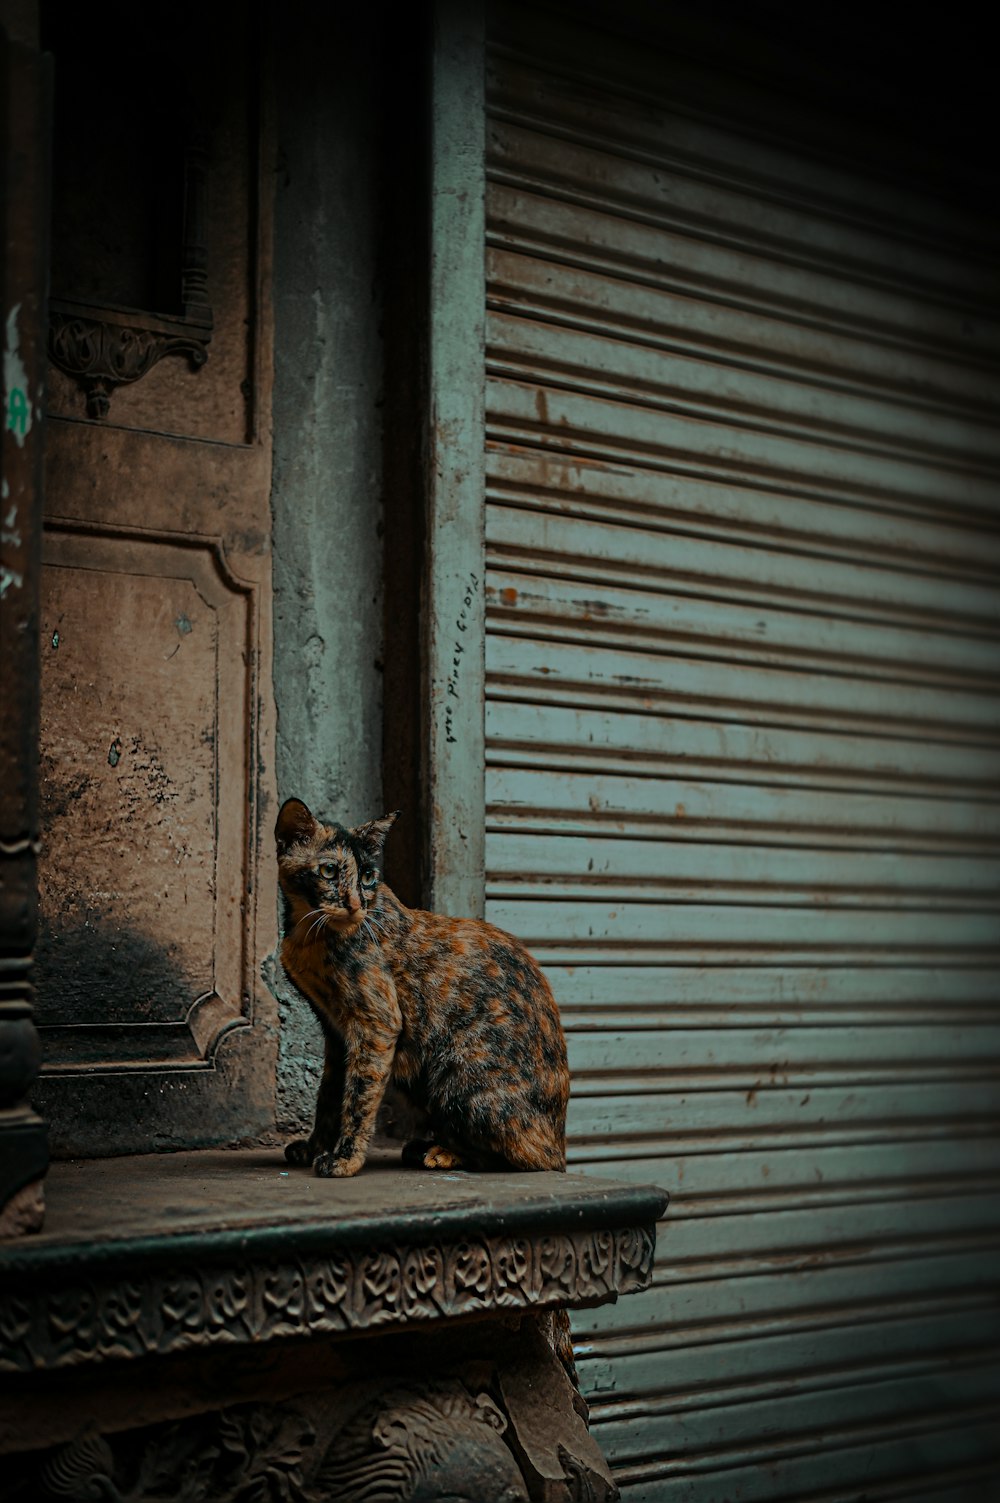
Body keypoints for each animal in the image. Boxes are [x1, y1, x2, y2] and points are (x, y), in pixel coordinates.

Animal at [275, 799, 568, 1184]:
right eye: (328, 870)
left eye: (367, 876)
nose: (356, 904)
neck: (309, 932)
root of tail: (560, 1140)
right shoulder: (335, 1032)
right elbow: (329, 1095)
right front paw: (314, 1147)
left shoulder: (377, 1022)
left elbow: (358, 1097)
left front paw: (345, 1159)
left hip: (455, 1073)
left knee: (530, 1158)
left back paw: (440, 1152)